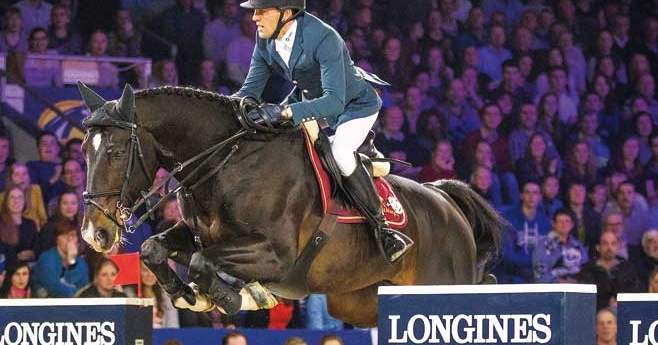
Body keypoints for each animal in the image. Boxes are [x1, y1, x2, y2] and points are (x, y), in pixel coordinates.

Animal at [79, 82, 504, 326]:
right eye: (84, 149)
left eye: (116, 152)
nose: (93, 233)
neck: (225, 161)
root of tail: (445, 199)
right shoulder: (199, 235)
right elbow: (155, 249)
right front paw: (191, 295)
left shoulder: (275, 256)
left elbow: (202, 262)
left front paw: (232, 296)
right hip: (358, 301)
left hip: (441, 281)